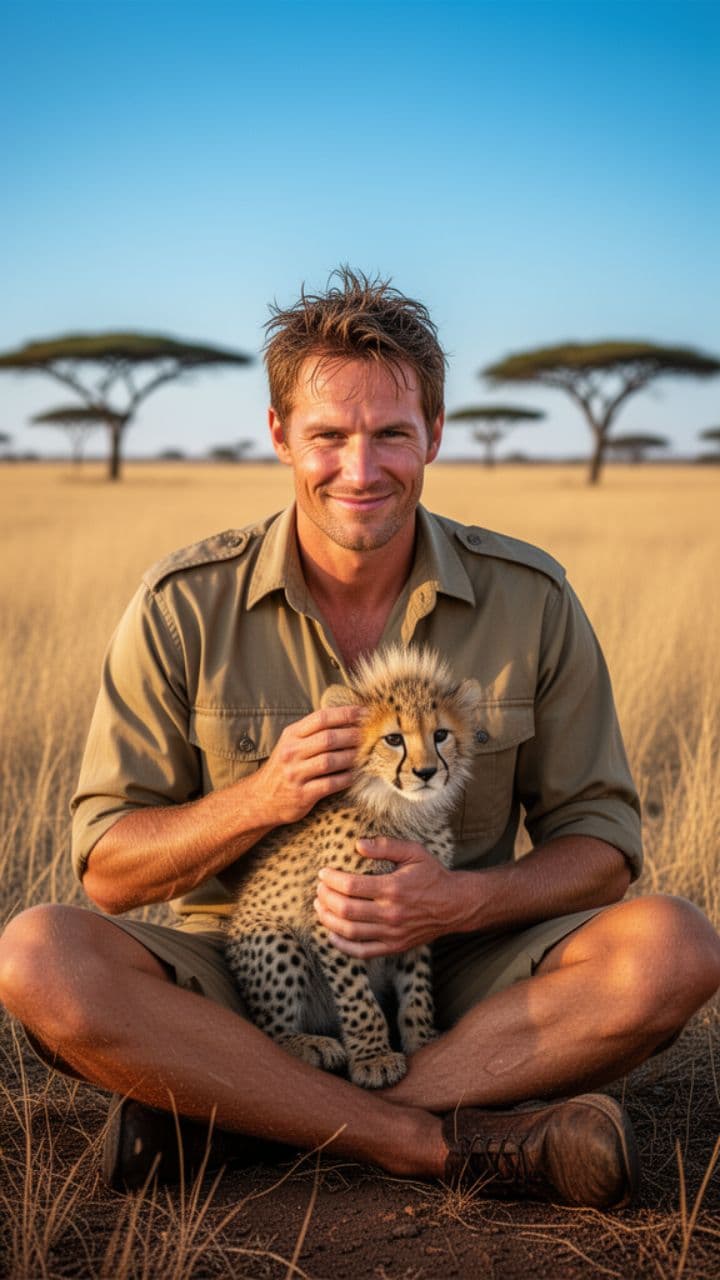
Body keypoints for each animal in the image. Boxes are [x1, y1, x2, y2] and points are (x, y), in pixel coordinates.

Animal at [224, 644, 483, 1089]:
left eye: (441, 735)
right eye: (393, 739)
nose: (427, 772)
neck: (401, 813)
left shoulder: (417, 908)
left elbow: (417, 987)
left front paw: (421, 1039)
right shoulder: (332, 915)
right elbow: (359, 999)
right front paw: (374, 1057)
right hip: (275, 937)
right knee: (267, 1030)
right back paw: (310, 1044)